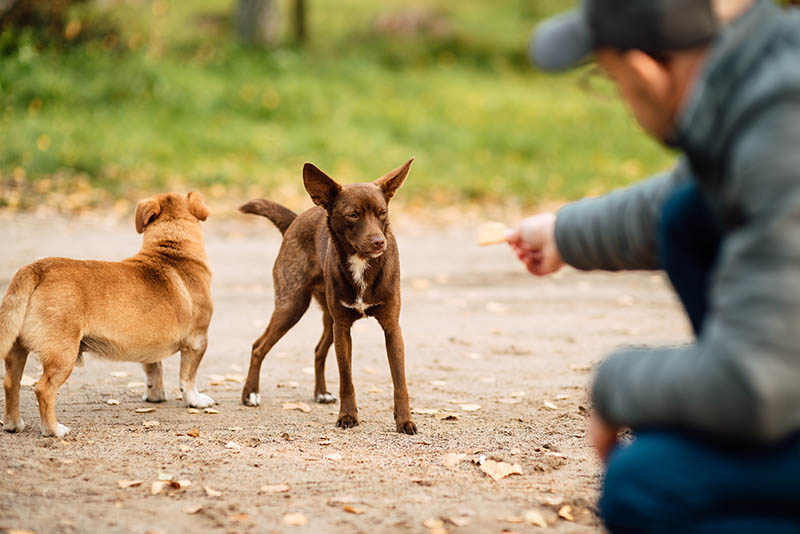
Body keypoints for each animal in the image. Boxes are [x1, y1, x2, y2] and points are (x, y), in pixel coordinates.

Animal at [0, 195, 214, 438]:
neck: (172, 251)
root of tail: (36, 268)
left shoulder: (150, 346)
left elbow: (154, 370)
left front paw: (155, 396)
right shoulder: (197, 341)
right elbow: (187, 377)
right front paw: (195, 400)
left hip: (16, 350)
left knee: (11, 383)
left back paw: (13, 424)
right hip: (63, 356)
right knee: (43, 389)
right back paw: (54, 429)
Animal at [239, 159, 416, 436]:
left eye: (382, 213)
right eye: (353, 214)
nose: (379, 242)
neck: (362, 264)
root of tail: (294, 220)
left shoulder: (391, 327)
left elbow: (400, 380)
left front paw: (405, 420)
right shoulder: (343, 327)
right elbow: (346, 377)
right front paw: (348, 416)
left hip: (326, 318)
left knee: (318, 349)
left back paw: (320, 393)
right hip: (292, 306)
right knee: (259, 346)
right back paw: (251, 394)